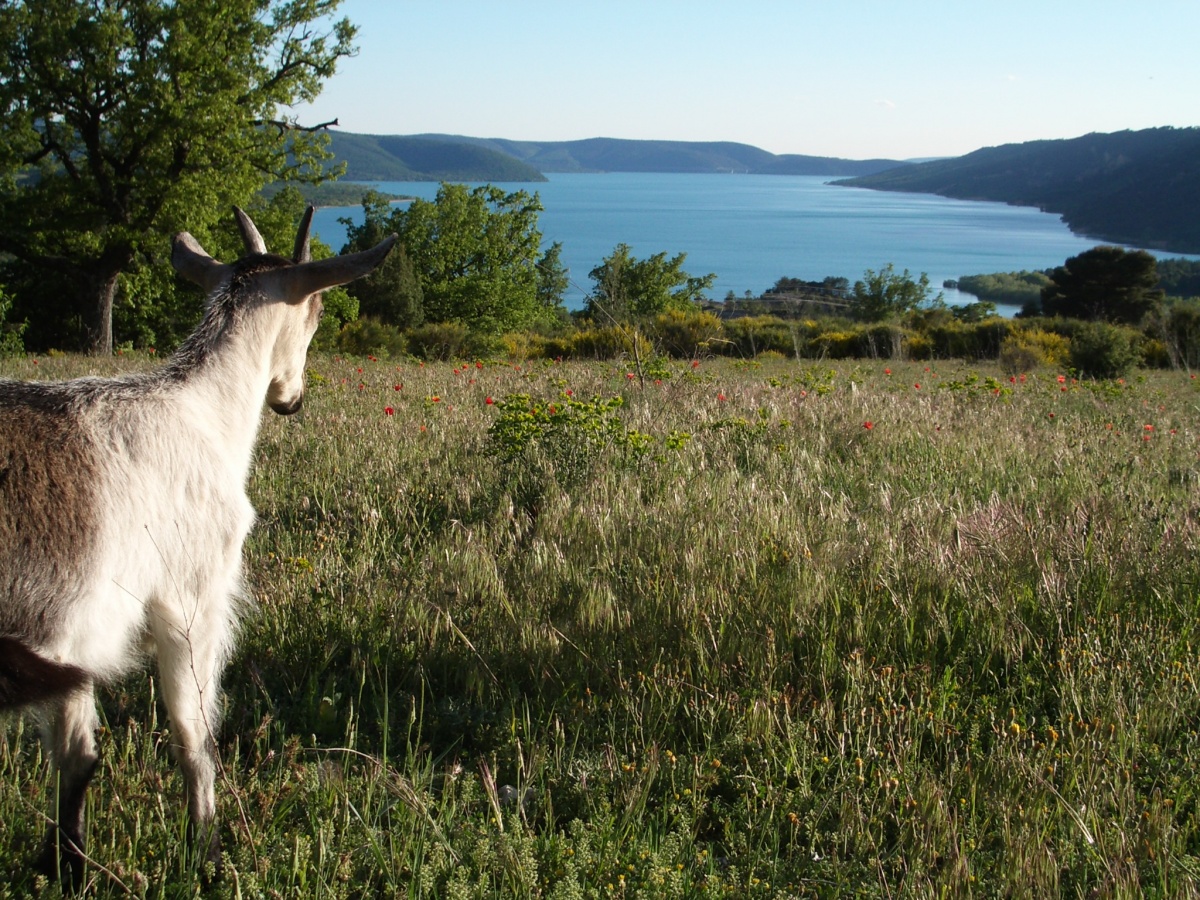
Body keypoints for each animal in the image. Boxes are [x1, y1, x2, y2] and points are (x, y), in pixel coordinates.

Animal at [0, 210, 398, 888]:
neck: (202, 413)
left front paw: (66, 867)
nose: (292, 398)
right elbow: (194, 735)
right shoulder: (191, 598)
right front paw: (207, 853)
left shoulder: (71, 639)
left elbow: (77, 758)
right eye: (317, 311)